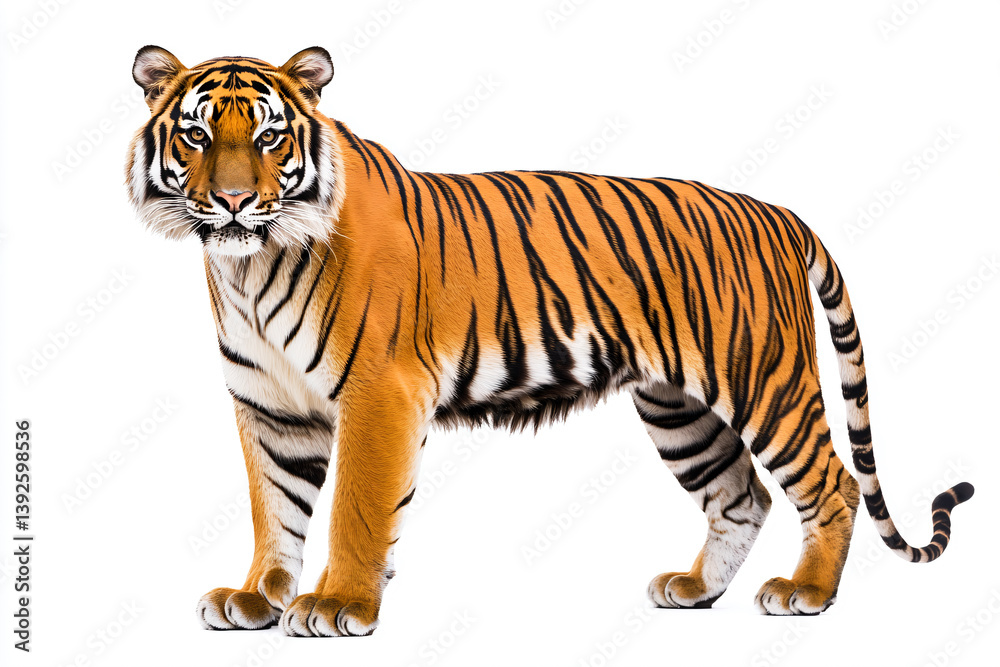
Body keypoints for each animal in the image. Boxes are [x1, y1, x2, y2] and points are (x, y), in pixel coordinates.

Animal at [126, 45, 974, 637]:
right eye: (197, 134)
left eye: (271, 138)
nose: (235, 200)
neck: (249, 264)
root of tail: (778, 212)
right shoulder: (271, 404)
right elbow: (275, 506)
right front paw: (255, 597)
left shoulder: (377, 392)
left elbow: (355, 510)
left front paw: (338, 604)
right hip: (678, 408)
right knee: (743, 494)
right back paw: (696, 590)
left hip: (765, 380)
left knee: (830, 483)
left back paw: (807, 593)